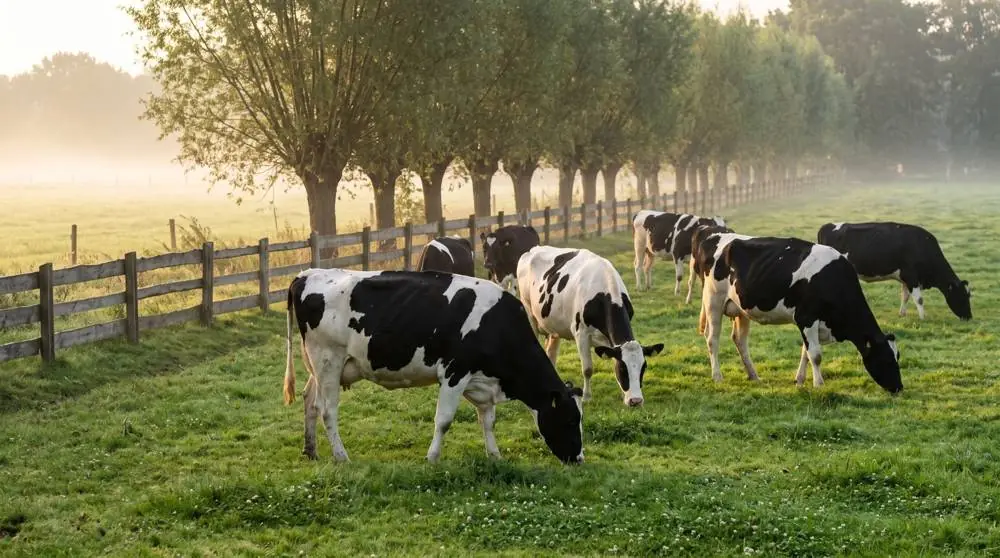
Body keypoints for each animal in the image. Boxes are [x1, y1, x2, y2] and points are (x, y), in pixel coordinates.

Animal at [284, 268, 585, 464]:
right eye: (571, 419)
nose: (579, 458)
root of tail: (307, 274)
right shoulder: (454, 373)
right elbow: (444, 420)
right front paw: (432, 457)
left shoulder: (481, 382)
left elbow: (488, 421)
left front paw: (495, 456)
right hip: (328, 360)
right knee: (327, 410)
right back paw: (341, 456)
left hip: (319, 366)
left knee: (309, 401)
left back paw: (310, 451)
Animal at [516, 246, 664, 406]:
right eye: (623, 368)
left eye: (644, 368)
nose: (636, 401)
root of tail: (532, 249)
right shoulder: (581, 334)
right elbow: (587, 369)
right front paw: (586, 397)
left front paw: (622, 395)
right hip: (529, 313)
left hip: (553, 326)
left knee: (551, 353)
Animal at [697, 234, 902, 393]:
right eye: (885, 359)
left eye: (898, 356)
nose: (899, 388)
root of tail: (713, 237)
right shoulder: (806, 318)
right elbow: (815, 355)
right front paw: (819, 385)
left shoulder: (811, 323)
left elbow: (806, 352)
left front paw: (800, 380)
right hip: (713, 301)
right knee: (712, 339)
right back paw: (717, 376)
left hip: (741, 308)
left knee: (739, 340)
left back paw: (754, 375)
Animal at [817, 221, 972, 321]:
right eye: (962, 296)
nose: (969, 317)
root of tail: (827, 226)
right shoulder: (912, 276)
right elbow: (919, 299)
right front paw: (923, 317)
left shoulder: (906, 279)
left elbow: (905, 296)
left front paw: (902, 314)